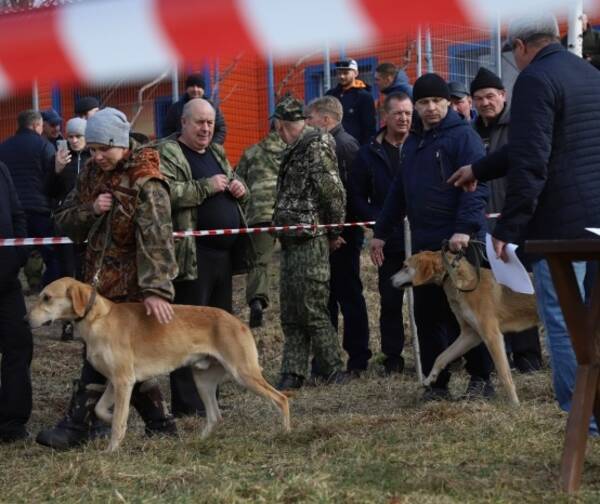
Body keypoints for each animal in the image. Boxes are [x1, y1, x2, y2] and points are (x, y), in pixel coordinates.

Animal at [28, 278, 290, 450]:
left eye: (47, 297)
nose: (25, 318)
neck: (98, 319)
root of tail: (238, 322)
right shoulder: (115, 382)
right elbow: (101, 409)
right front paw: (108, 418)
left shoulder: (124, 381)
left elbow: (118, 423)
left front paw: (112, 449)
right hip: (203, 381)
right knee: (215, 417)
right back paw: (196, 443)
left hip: (244, 374)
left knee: (282, 399)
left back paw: (286, 434)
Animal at [394, 252, 540, 406]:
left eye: (405, 266)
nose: (390, 279)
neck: (464, 283)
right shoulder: (470, 335)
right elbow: (441, 357)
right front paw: (429, 379)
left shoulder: (492, 336)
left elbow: (504, 373)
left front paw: (514, 403)